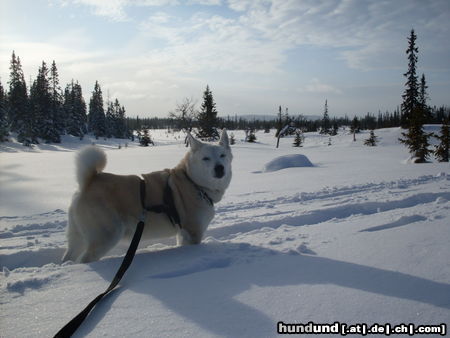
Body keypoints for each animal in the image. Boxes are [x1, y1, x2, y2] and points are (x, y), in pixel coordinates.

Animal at [63, 131, 232, 262]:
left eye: (222, 155)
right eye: (206, 158)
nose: (219, 168)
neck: (193, 182)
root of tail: (88, 182)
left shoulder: (183, 233)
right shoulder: (193, 232)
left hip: (78, 236)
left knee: (69, 256)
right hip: (106, 235)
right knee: (85, 260)